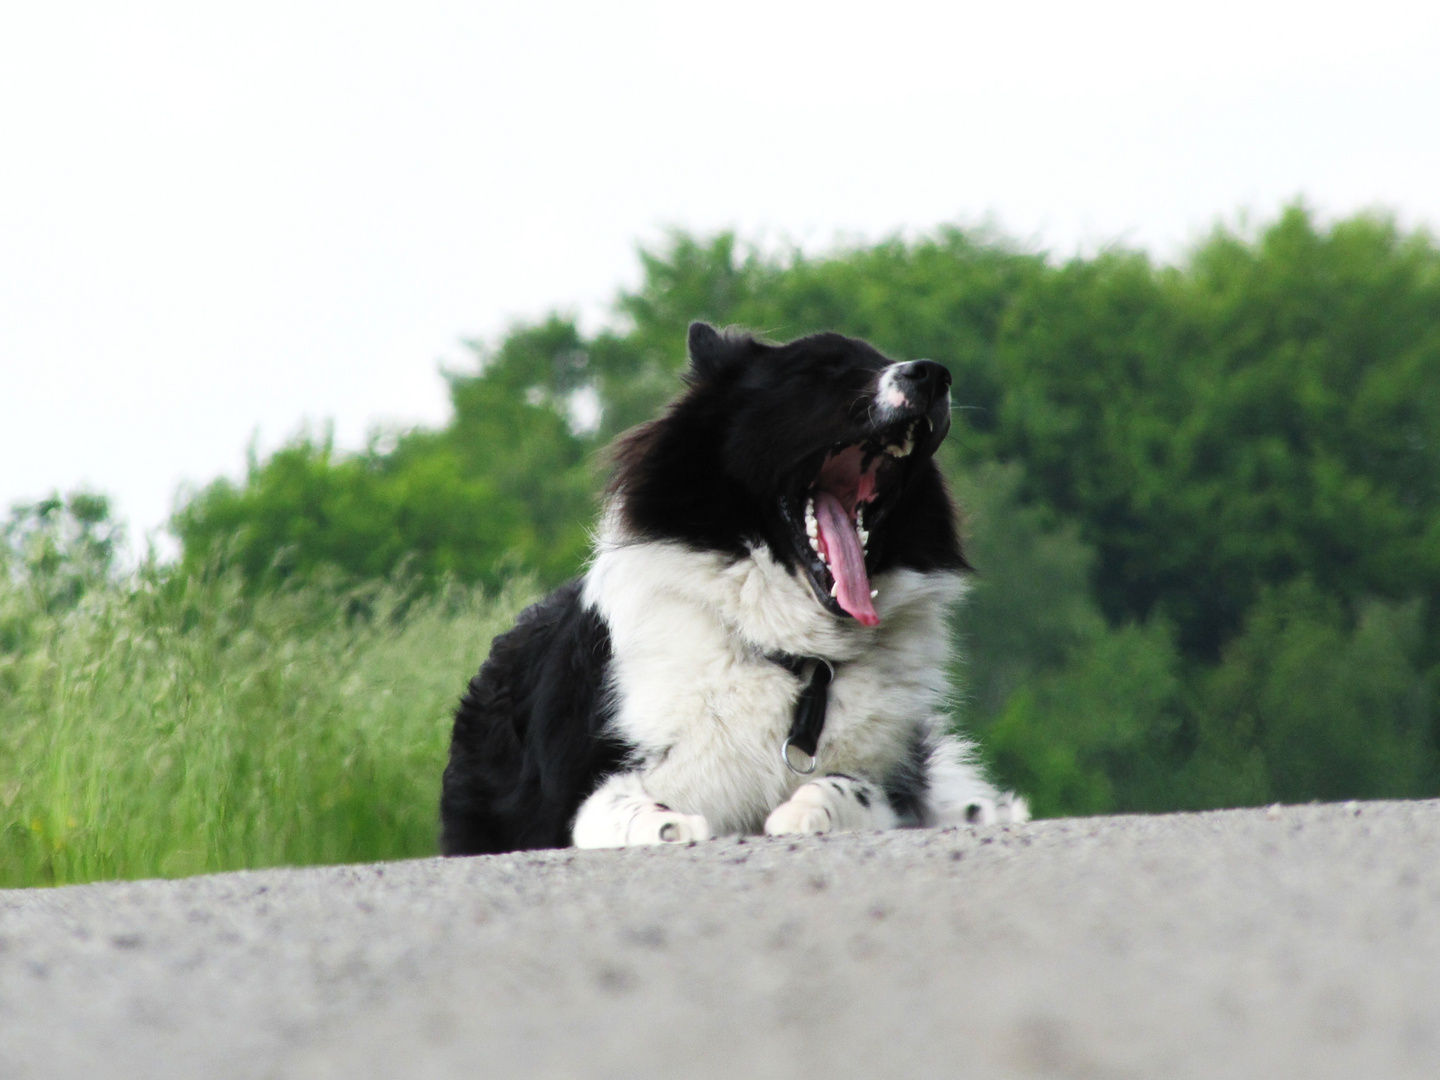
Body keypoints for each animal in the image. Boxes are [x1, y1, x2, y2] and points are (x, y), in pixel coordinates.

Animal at [437, 321, 1025, 852]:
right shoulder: (571, 799)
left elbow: (855, 788)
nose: (933, 375)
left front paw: (810, 810)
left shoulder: (894, 783)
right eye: (820, 373)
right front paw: (669, 825)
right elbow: (618, 804)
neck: (794, 658)